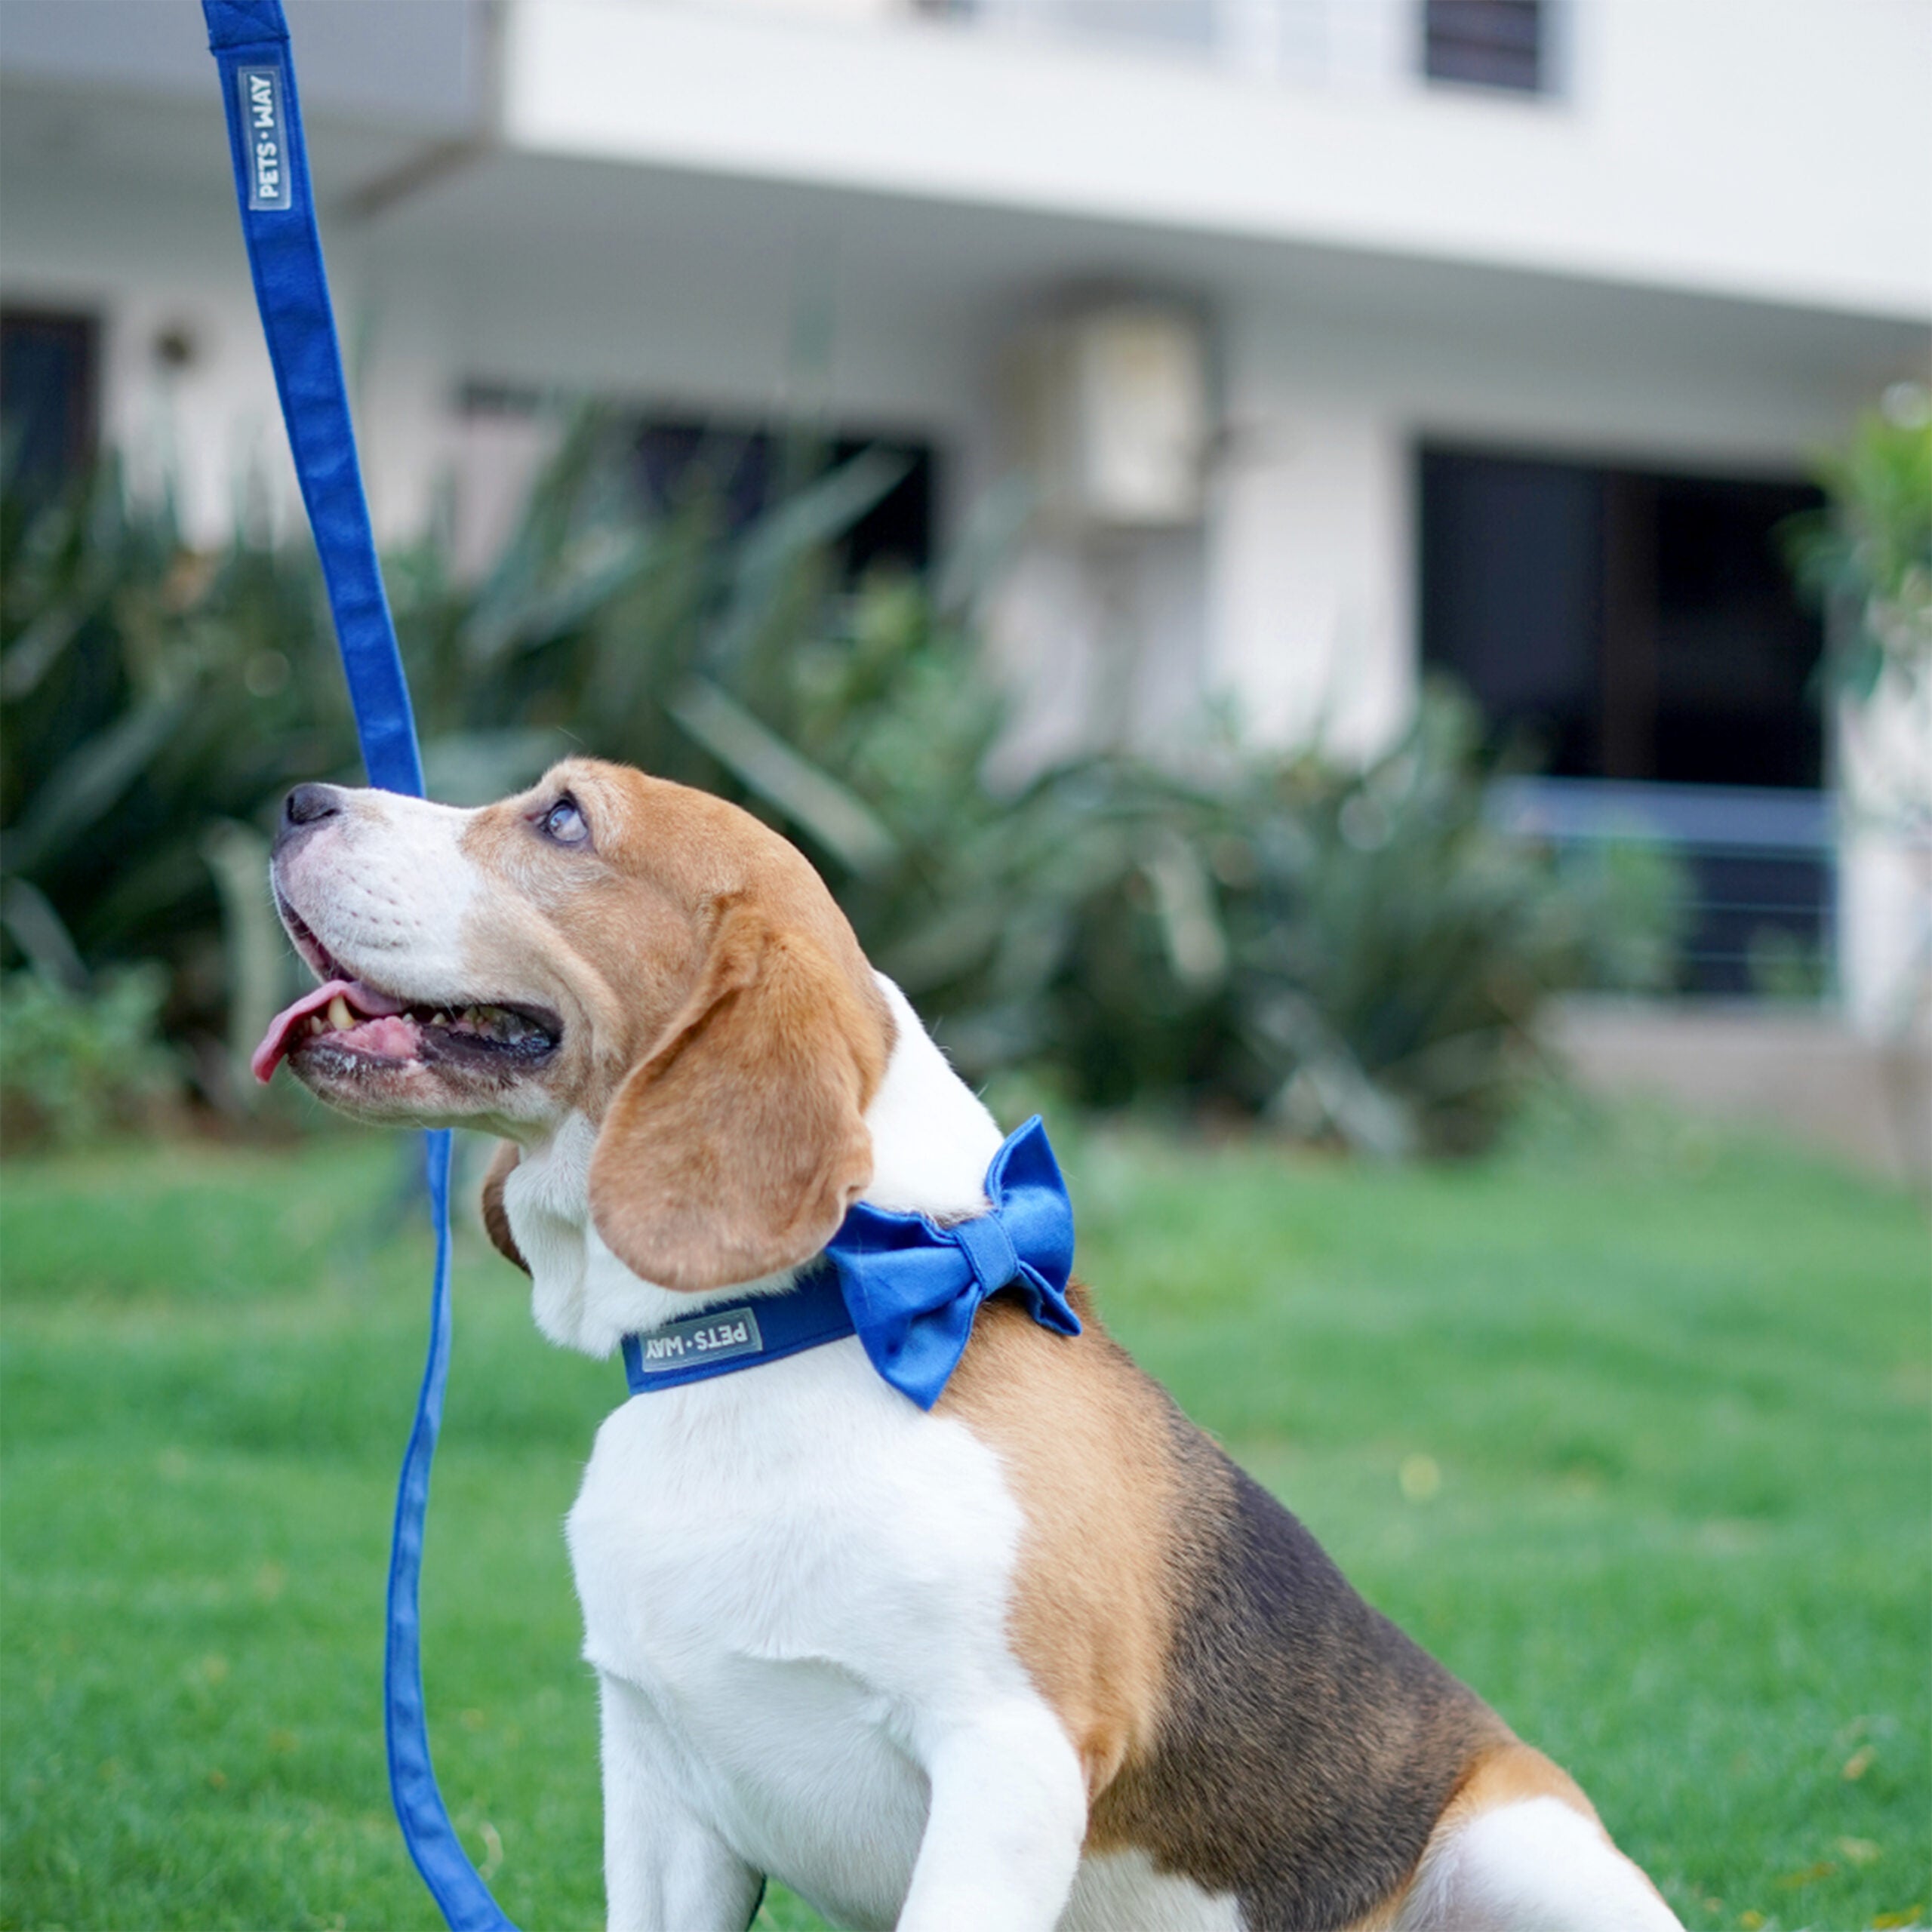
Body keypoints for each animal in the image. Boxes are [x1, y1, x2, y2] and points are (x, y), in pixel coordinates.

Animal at [260, 757, 1692, 1932]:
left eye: (563, 818)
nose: (294, 802)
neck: (779, 1348)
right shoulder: (663, 1791)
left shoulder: (1006, 1762)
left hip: (1528, 1848)